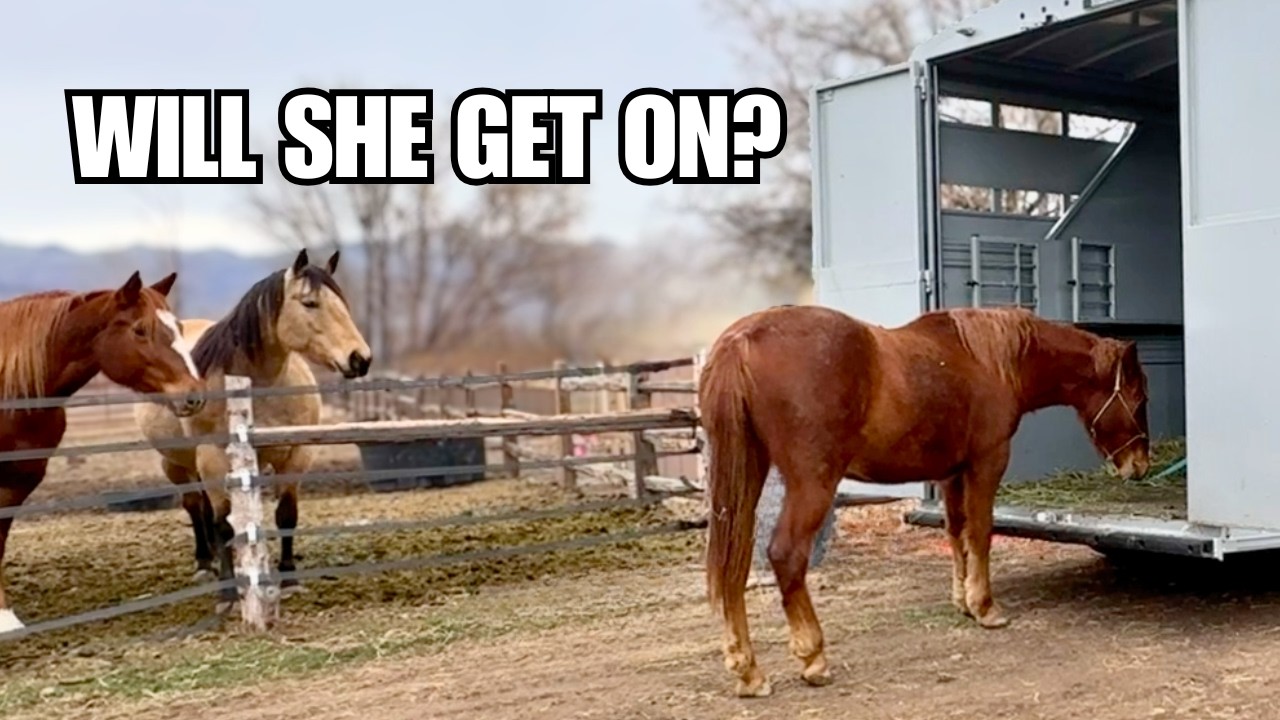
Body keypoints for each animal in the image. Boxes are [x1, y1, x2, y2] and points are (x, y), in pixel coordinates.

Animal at [133, 248, 371, 609]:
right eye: (309, 303)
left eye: (341, 302)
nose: (360, 359)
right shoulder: (212, 458)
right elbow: (222, 524)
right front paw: (228, 594)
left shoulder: (297, 455)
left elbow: (286, 516)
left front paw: (289, 579)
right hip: (176, 464)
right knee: (195, 507)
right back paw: (205, 564)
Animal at [698, 304, 1151, 697]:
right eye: (1139, 398)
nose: (1141, 465)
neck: (989, 360)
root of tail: (741, 340)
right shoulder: (986, 463)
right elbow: (980, 531)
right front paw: (985, 607)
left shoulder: (951, 473)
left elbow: (956, 532)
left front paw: (963, 601)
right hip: (812, 483)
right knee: (786, 555)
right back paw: (813, 658)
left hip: (746, 477)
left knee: (733, 562)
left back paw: (747, 670)